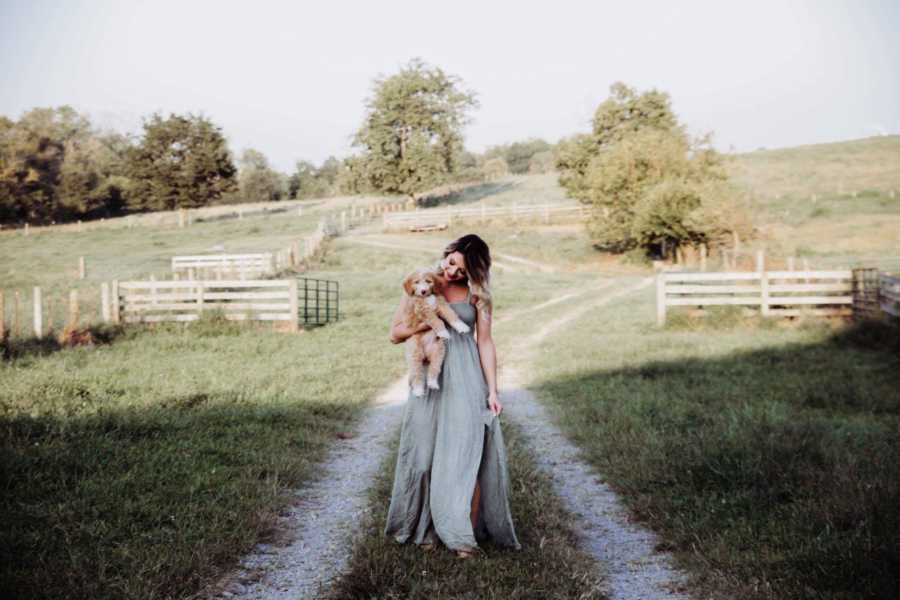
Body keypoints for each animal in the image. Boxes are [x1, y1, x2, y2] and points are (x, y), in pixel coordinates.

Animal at [400, 266, 472, 396]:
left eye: (428, 281)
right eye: (416, 282)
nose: (423, 291)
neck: (427, 298)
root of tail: (425, 354)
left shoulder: (441, 304)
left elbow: (451, 314)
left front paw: (461, 326)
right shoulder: (423, 311)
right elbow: (437, 321)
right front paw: (443, 331)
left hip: (438, 351)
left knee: (434, 369)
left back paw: (433, 383)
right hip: (414, 353)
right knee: (417, 372)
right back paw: (418, 390)